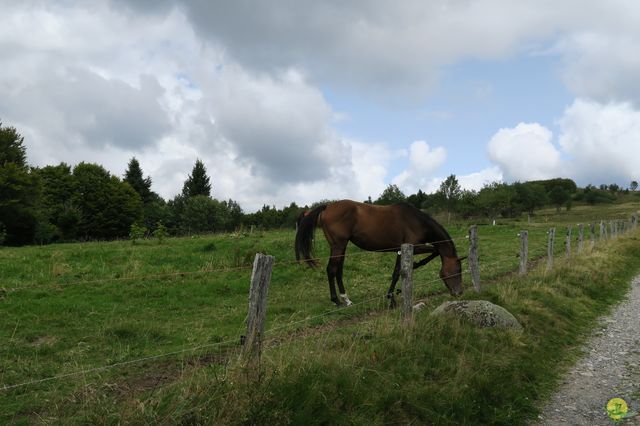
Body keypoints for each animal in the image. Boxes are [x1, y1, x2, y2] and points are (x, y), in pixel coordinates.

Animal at [296, 200, 464, 306]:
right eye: (457, 271)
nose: (459, 293)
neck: (417, 221)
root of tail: (327, 207)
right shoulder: (413, 247)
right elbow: (434, 250)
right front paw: (392, 296)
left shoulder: (400, 250)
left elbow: (397, 272)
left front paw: (394, 294)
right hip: (338, 246)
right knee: (331, 270)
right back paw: (336, 301)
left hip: (341, 247)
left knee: (338, 271)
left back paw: (346, 299)